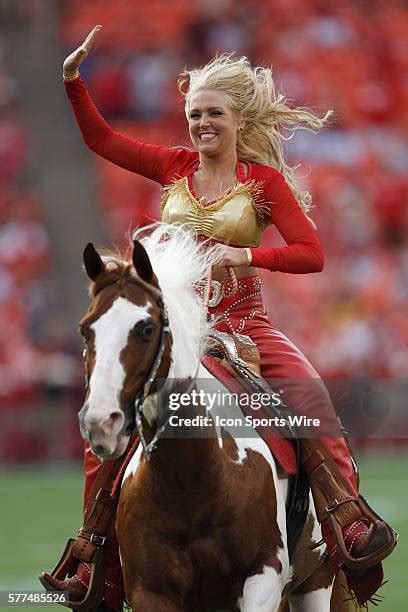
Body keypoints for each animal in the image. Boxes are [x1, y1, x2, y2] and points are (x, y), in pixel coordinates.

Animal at [78, 226, 352, 612]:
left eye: (146, 328)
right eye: (86, 330)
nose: (102, 422)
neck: (192, 477)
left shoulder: (263, 574)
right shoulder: (150, 590)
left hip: (317, 580)